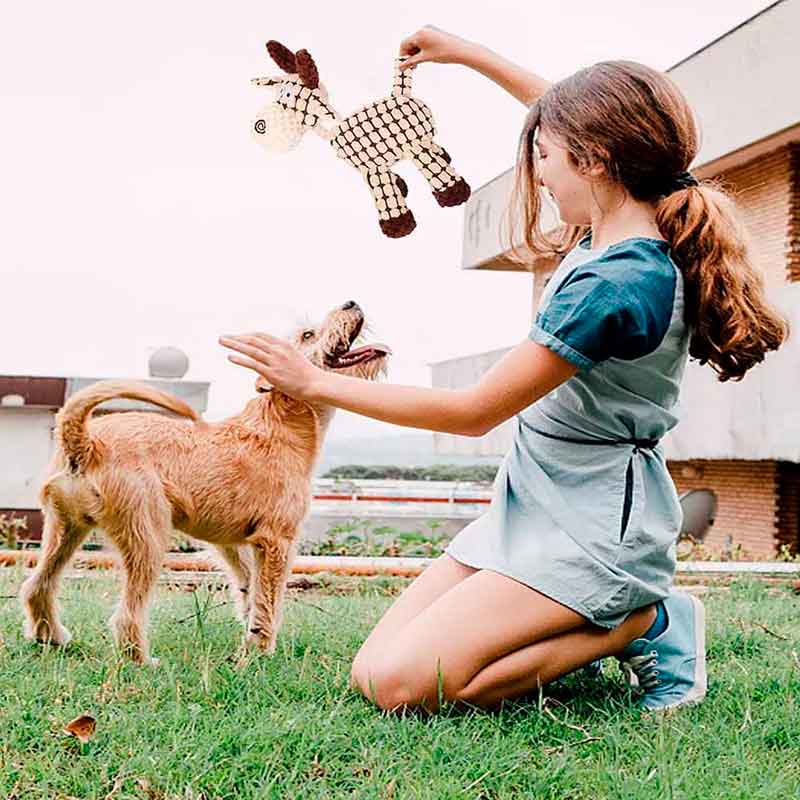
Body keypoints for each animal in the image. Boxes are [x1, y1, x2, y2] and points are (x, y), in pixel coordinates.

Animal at [20, 300, 390, 664]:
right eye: (308, 335)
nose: (351, 302)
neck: (282, 418)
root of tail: (85, 441)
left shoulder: (234, 544)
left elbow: (250, 591)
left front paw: (250, 641)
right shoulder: (276, 541)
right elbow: (268, 601)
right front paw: (261, 653)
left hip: (65, 530)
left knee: (37, 586)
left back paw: (52, 637)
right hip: (148, 537)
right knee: (127, 614)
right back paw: (142, 661)